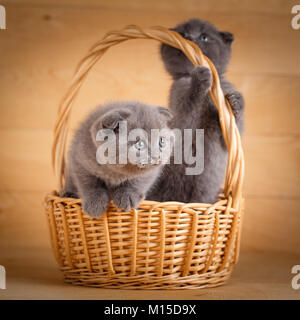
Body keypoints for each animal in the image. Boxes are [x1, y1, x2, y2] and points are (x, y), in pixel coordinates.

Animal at [146, 18, 245, 202]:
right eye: (183, 34)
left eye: (204, 37)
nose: (190, 39)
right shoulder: (180, 109)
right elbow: (190, 106)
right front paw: (201, 76)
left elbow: (232, 132)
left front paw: (236, 102)